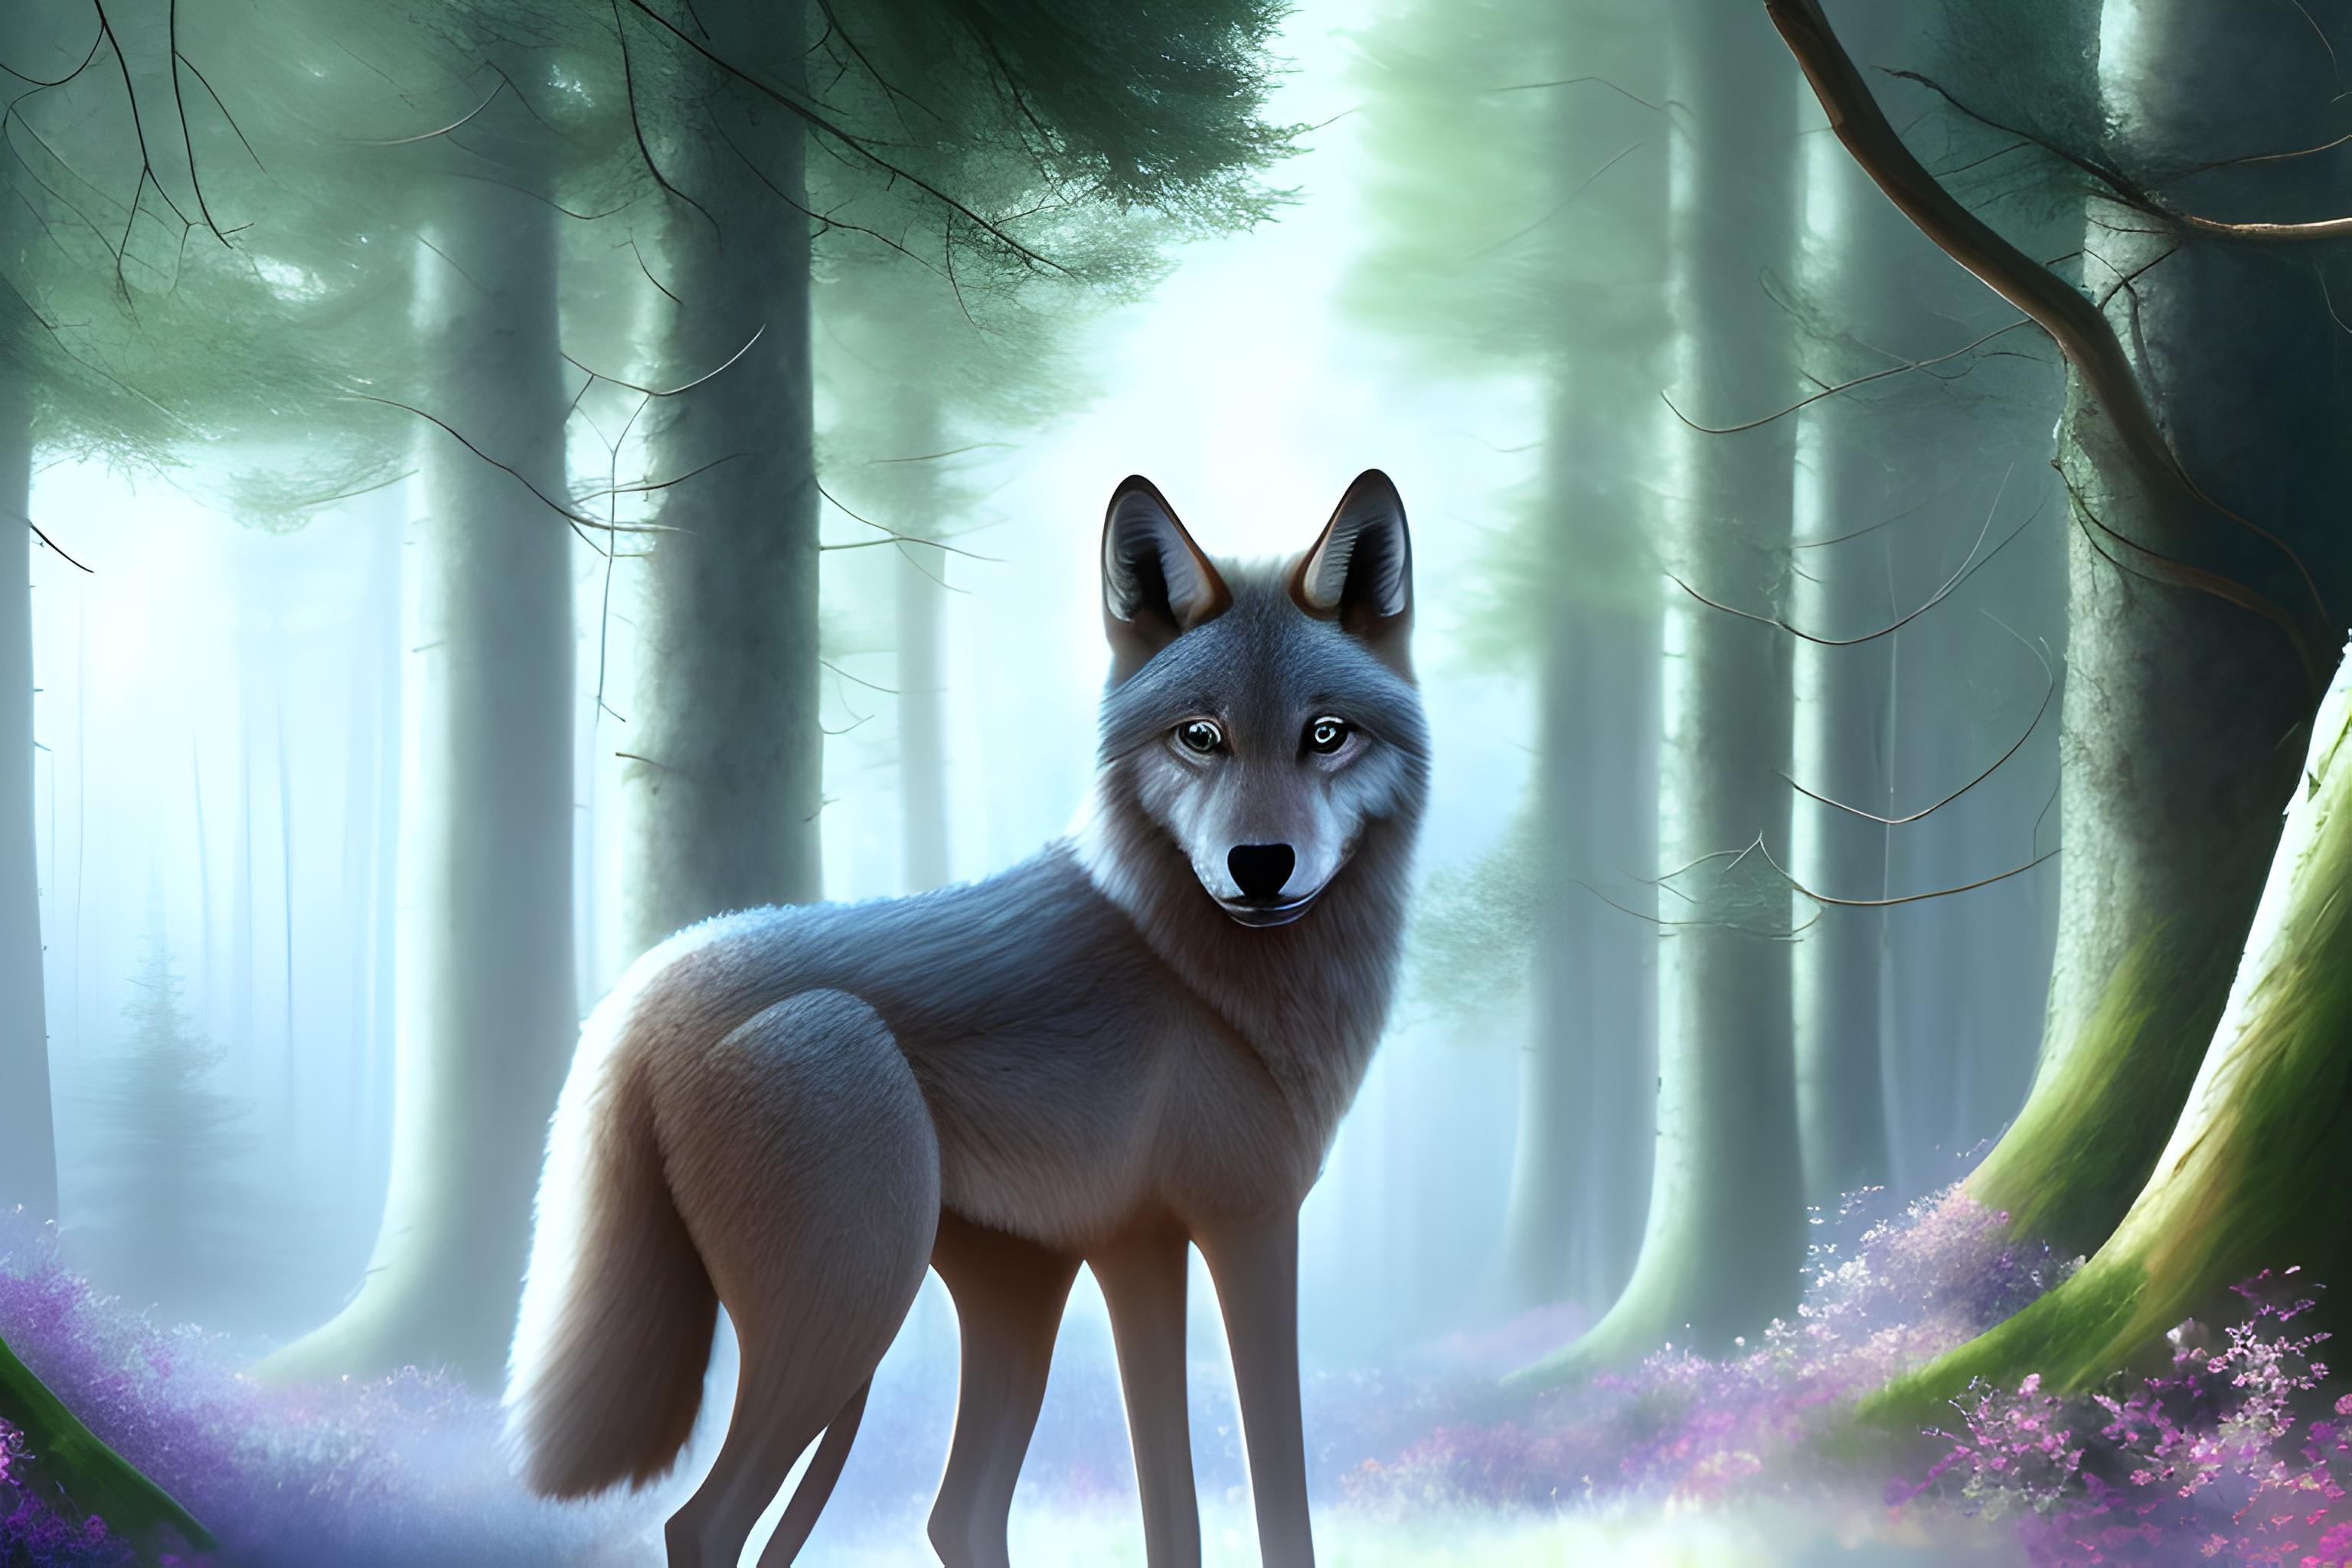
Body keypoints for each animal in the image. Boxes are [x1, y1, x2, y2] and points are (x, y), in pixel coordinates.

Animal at [504, 469, 1428, 1568]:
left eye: (1325, 734)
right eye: (1200, 736)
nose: (1260, 865)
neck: (1201, 972)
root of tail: (648, 989)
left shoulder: (1137, 1251)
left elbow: (1173, 1516)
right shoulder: (1249, 1227)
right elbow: (1280, 1504)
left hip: (1012, 1299)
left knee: (959, 1509)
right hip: (855, 1312)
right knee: (704, 1520)